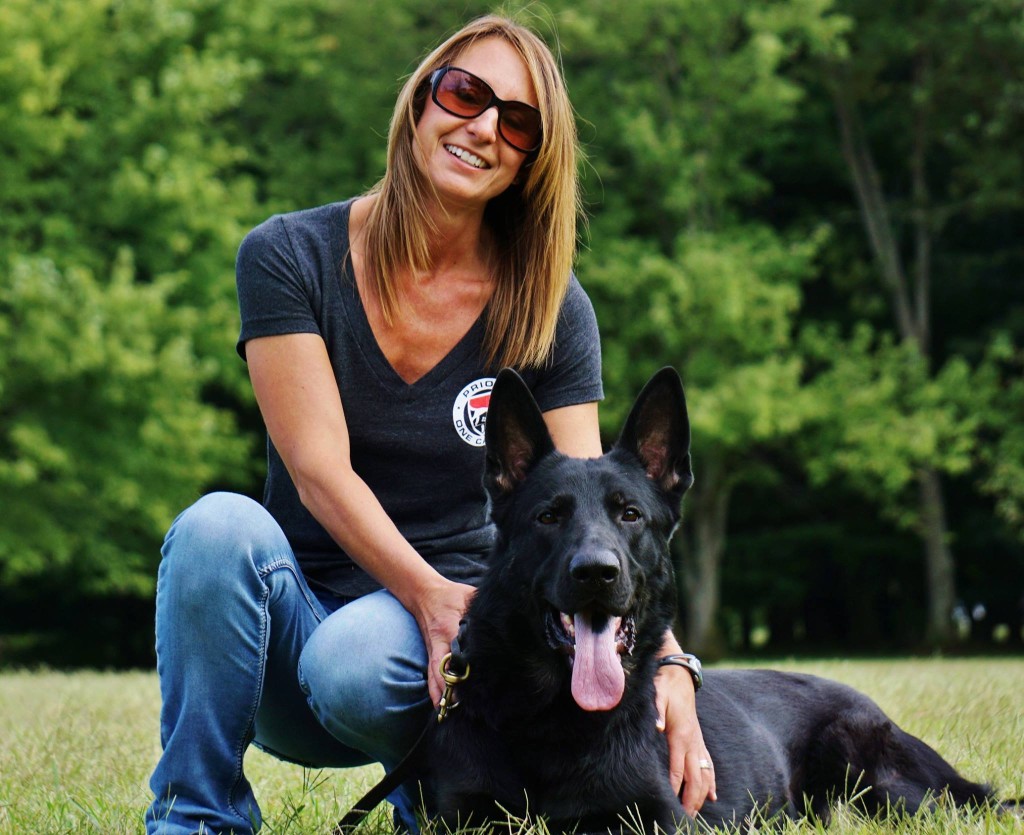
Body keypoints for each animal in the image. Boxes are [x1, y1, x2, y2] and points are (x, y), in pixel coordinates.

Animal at [425, 370, 1007, 835]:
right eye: (548, 516)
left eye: (630, 514)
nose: (596, 573)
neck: (553, 718)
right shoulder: (460, 818)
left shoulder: (660, 819)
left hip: (877, 782)